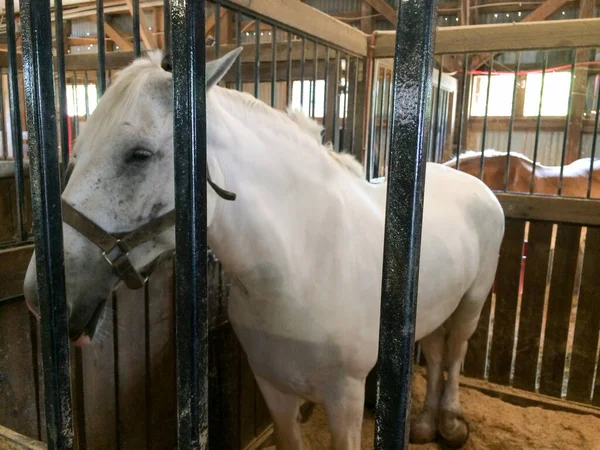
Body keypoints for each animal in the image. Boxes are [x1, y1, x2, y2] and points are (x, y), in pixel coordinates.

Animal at [23, 47, 504, 448]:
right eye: (76, 152)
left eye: (138, 154)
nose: (38, 296)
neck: (300, 268)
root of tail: (470, 179)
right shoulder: (274, 388)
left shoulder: (346, 398)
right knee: (437, 351)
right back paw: (424, 423)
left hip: (472, 303)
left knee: (455, 353)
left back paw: (450, 423)